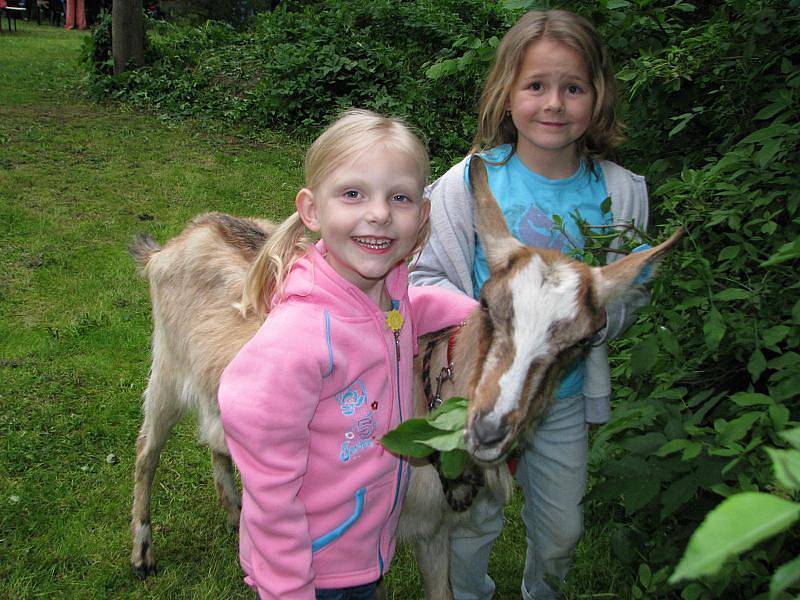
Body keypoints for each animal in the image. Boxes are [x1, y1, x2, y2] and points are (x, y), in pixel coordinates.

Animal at [128, 157, 680, 596]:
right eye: (486, 303)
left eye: (583, 342)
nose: (490, 428)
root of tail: (173, 244)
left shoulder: (443, 529)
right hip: (166, 365)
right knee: (147, 449)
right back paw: (142, 554)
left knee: (216, 439)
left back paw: (234, 513)